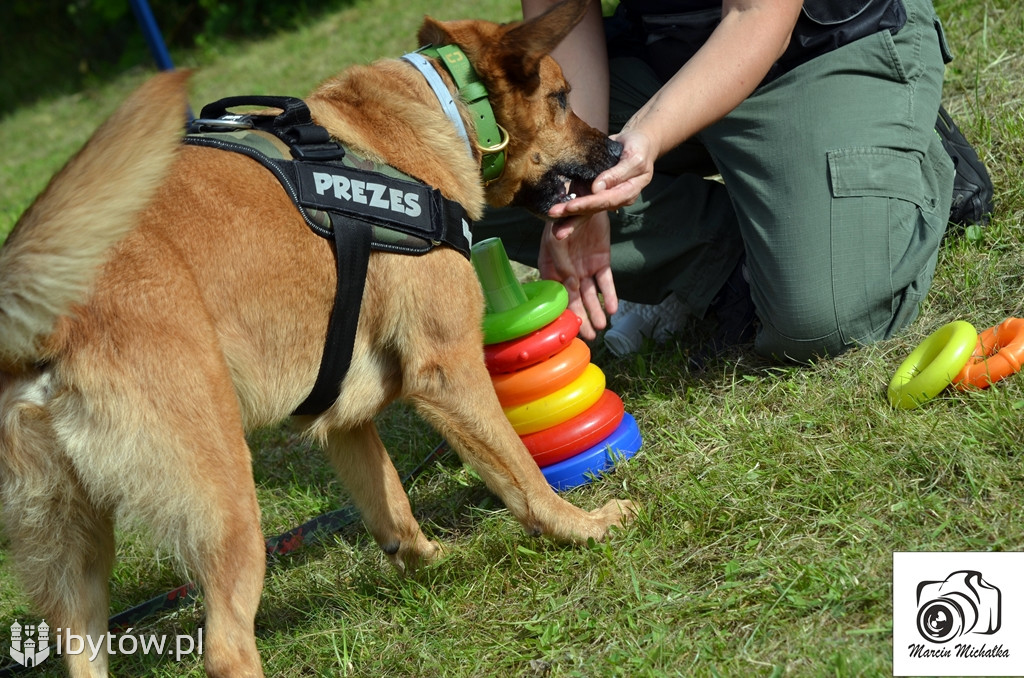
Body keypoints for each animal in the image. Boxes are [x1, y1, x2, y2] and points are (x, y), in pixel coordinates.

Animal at [0, 1, 630, 678]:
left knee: (82, 647)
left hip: (72, 550)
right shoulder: (448, 371)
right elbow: (522, 475)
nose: (617, 146)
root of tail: (41, 323)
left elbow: (391, 505)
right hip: (227, 506)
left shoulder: (343, 417)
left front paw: (429, 562)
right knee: (226, 646)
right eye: (562, 99)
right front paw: (583, 526)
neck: (431, 113)